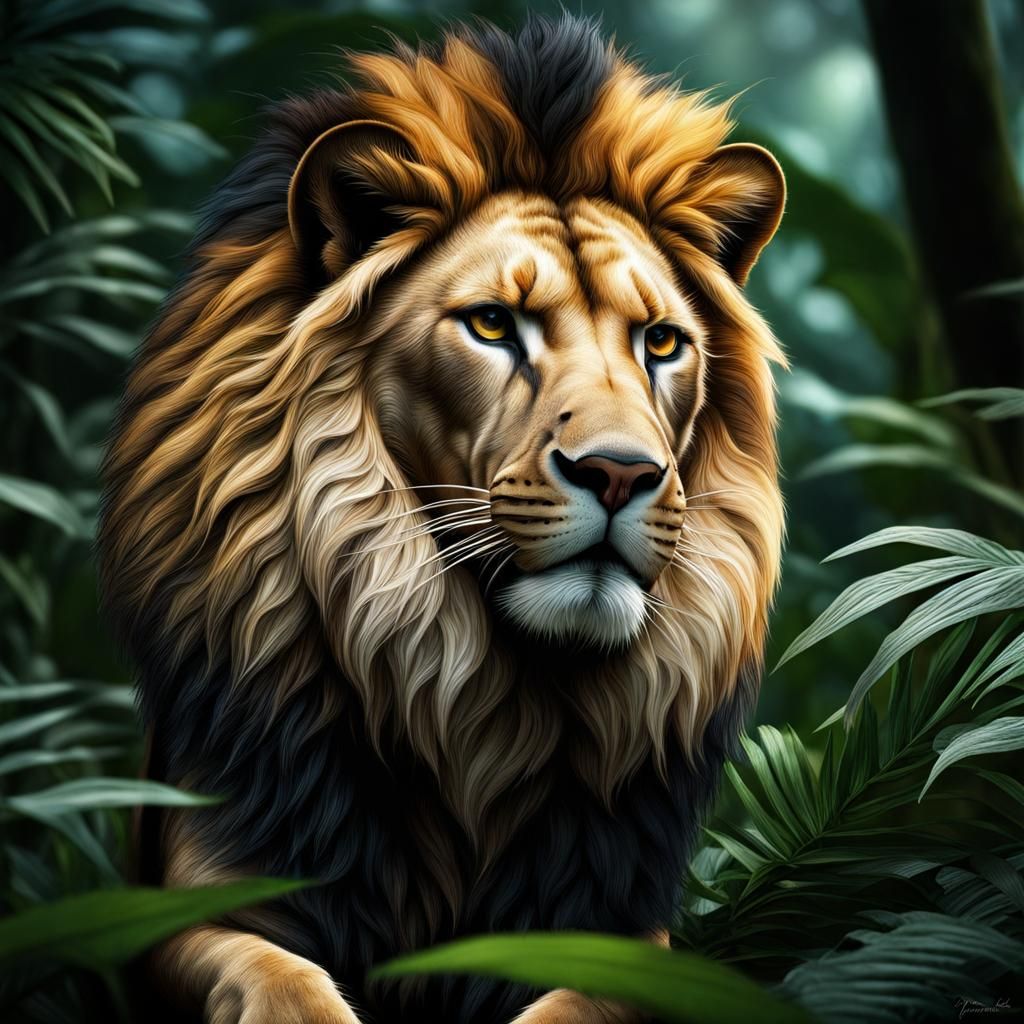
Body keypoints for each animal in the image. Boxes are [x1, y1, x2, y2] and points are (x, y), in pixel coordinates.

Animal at [99, 14, 785, 1024]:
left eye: (661, 342)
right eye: (494, 324)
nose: (620, 472)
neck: (478, 708)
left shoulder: (626, 932)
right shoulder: (189, 905)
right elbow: (279, 978)